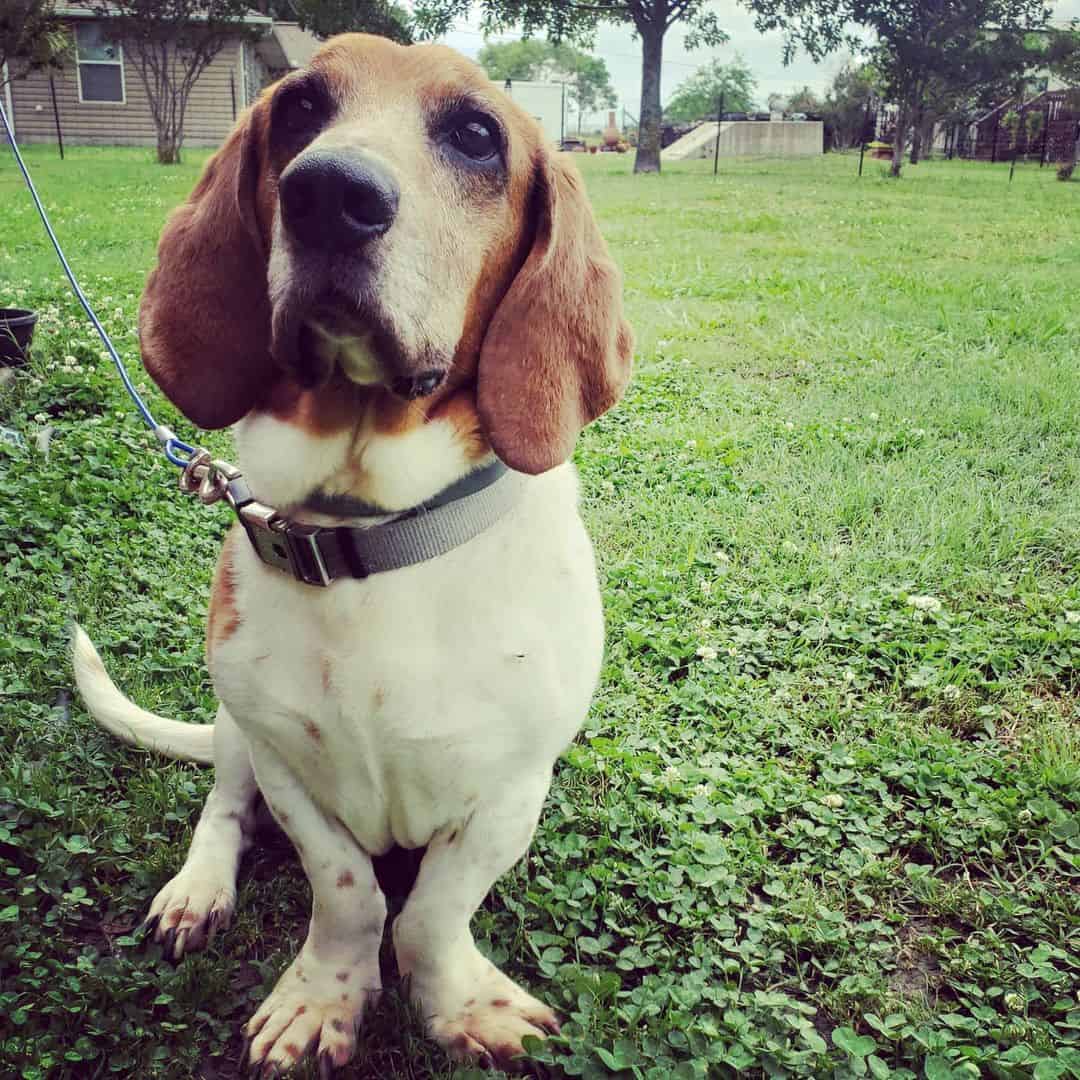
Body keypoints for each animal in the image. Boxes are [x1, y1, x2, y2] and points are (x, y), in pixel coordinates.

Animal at [71, 29, 630, 1075]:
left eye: (476, 135)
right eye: (298, 109)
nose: (329, 193)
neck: (372, 540)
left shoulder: (510, 789)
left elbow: (431, 913)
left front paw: (458, 1004)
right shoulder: (286, 765)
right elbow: (348, 893)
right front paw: (322, 997)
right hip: (234, 737)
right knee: (221, 810)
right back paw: (197, 891)